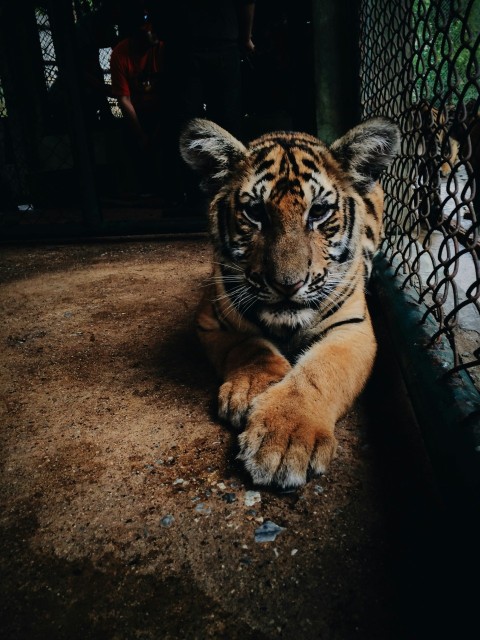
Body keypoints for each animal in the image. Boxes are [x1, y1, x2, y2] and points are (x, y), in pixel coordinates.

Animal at [180, 117, 400, 488]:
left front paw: (285, 439)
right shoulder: (211, 316)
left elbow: (319, 372)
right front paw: (255, 388)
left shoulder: (353, 329)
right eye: (255, 212)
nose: (287, 284)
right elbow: (249, 346)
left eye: (319, 211)